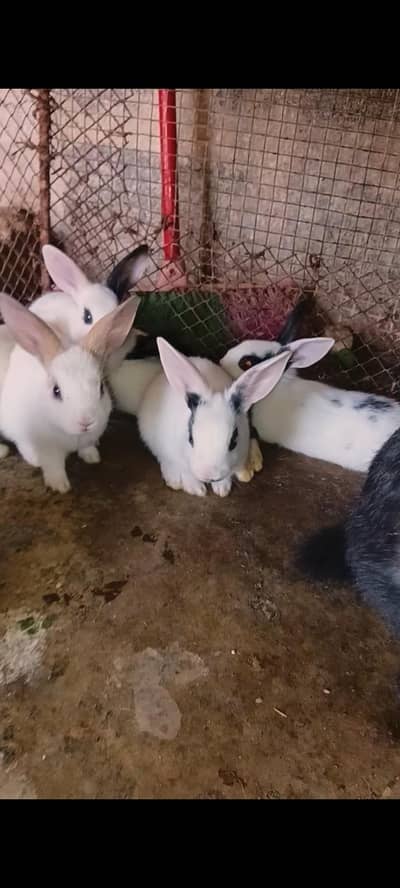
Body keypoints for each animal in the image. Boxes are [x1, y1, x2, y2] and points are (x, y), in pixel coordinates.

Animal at [0, 290, 140, 493]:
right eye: (56, 391)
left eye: (101, 387)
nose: (86, 422)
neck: (73, 436)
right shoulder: (45, 448)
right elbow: (53, 466)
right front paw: (60, 486)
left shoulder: (87, 438)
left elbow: (87, 447)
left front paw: (92, 457)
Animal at [136, 337, 292, 497]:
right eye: (190, 438)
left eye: (233, 441)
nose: (209, 475)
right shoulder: (177, 457)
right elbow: (186, 473)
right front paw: (197, 490)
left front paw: (222, 489)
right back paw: (173, 480)